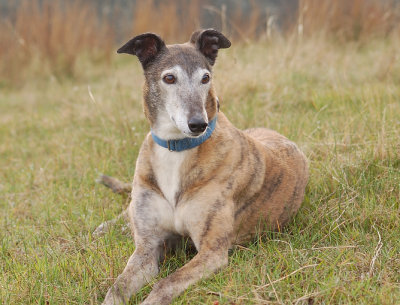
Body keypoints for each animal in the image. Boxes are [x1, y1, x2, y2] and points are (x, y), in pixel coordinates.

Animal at [101, 29, 310, 304]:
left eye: (205, 78)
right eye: (169, 78)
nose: (198, 124)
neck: (176, 148)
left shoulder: (212, 251)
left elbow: (165, 284)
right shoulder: (147, 248)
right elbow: (116, 289)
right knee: (126, 212)